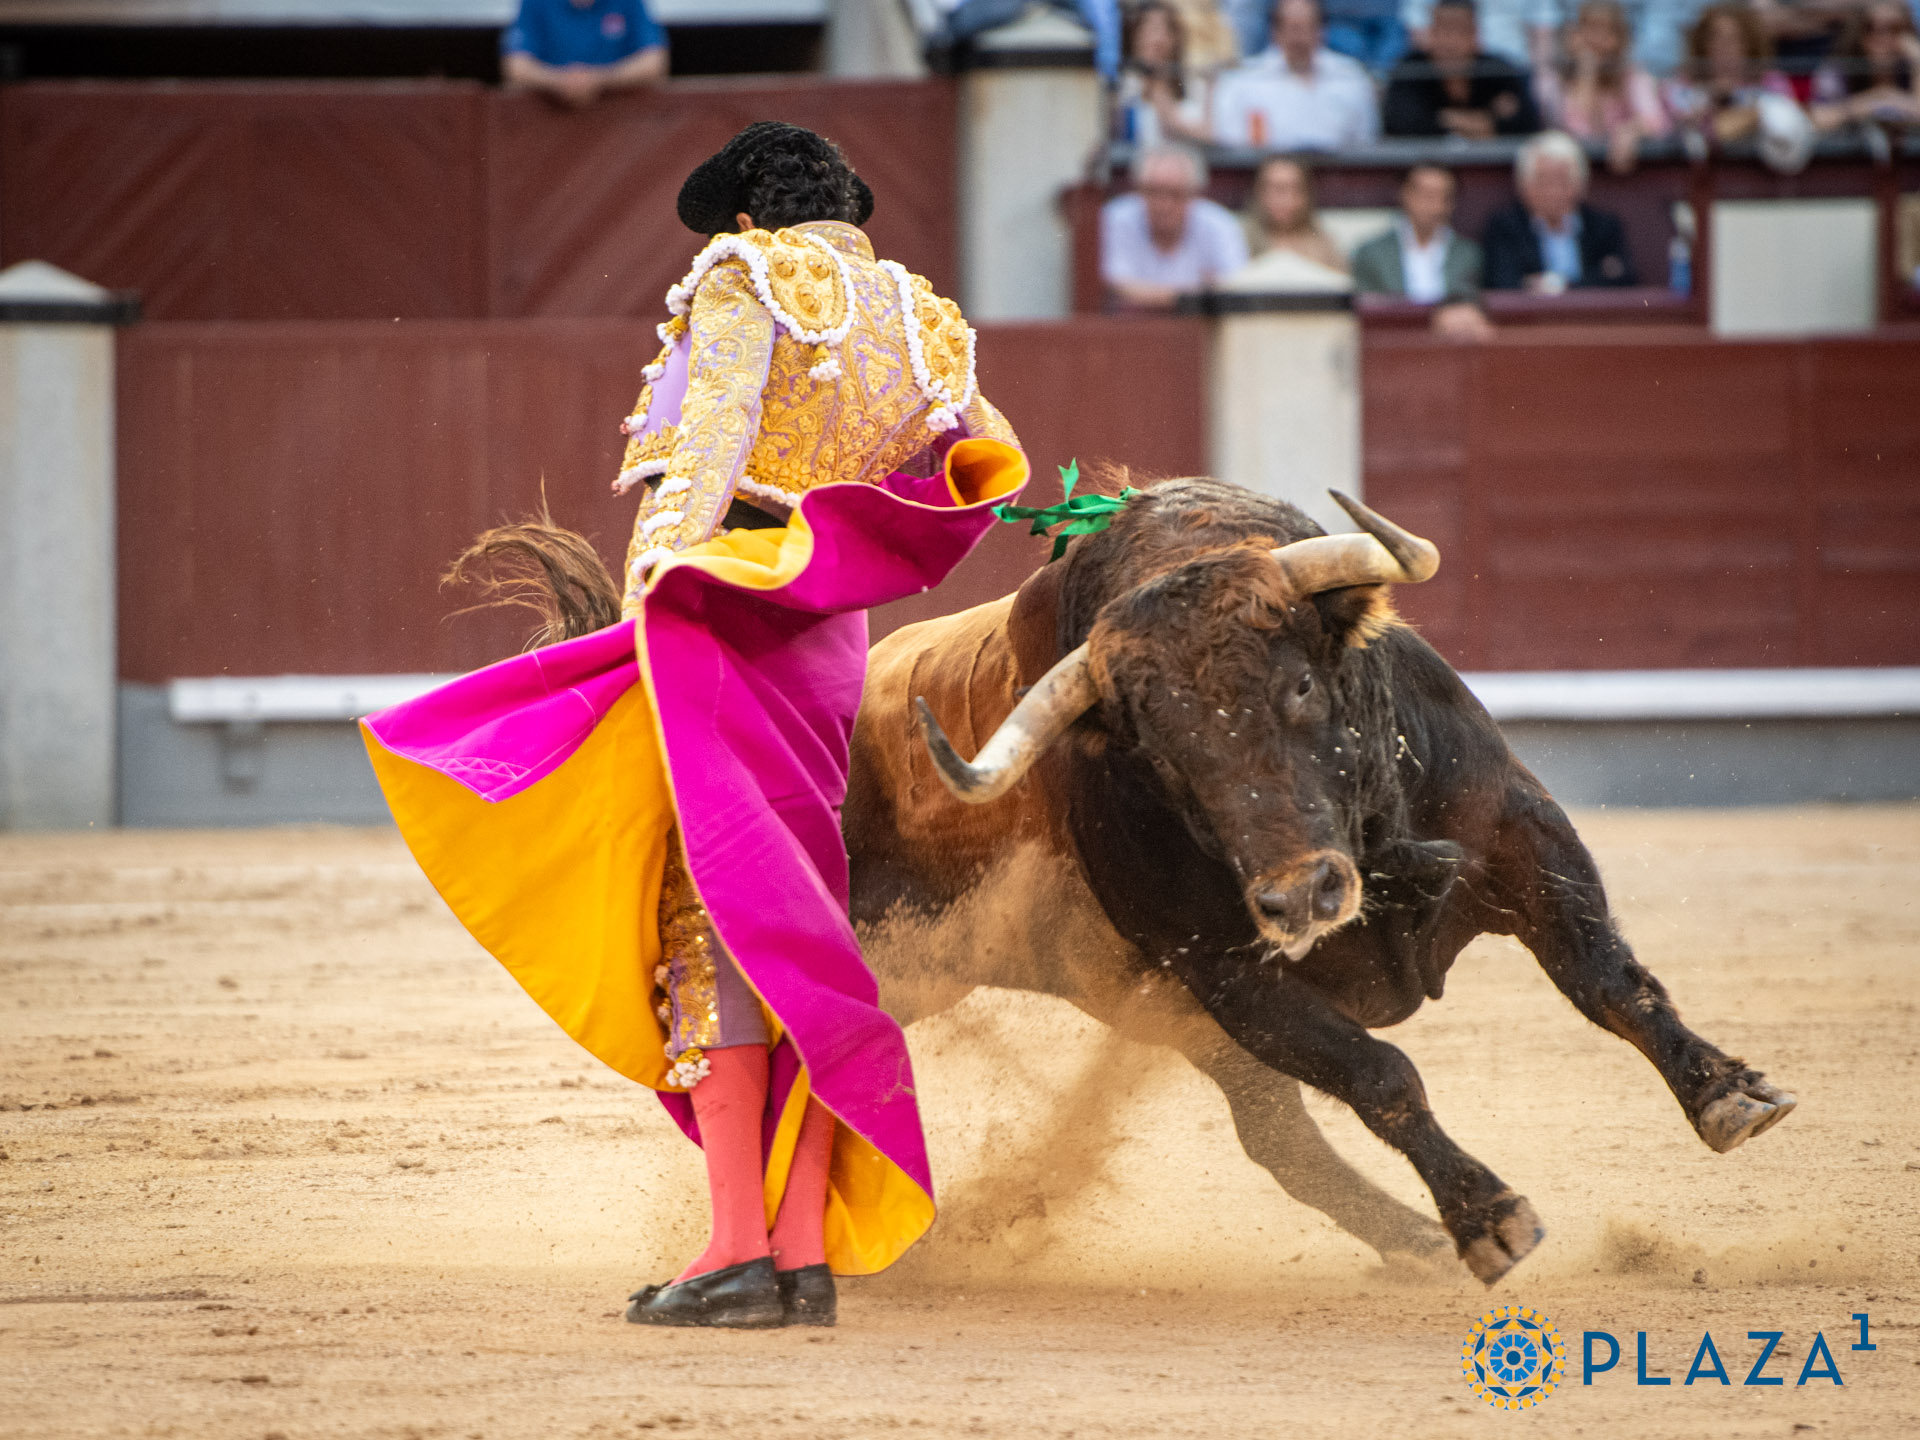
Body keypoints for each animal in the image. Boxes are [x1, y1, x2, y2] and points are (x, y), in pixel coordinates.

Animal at [844, 477, 1795, 1283]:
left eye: (1300, 686)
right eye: (1163, 755)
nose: (1302, 895)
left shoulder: (1520, 831)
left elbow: (1611, 982)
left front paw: (1729, 1094)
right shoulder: (1230, 979)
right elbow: (1382, 1076)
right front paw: (1488, 1220)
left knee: (1278, 1140)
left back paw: (1414, 1244)